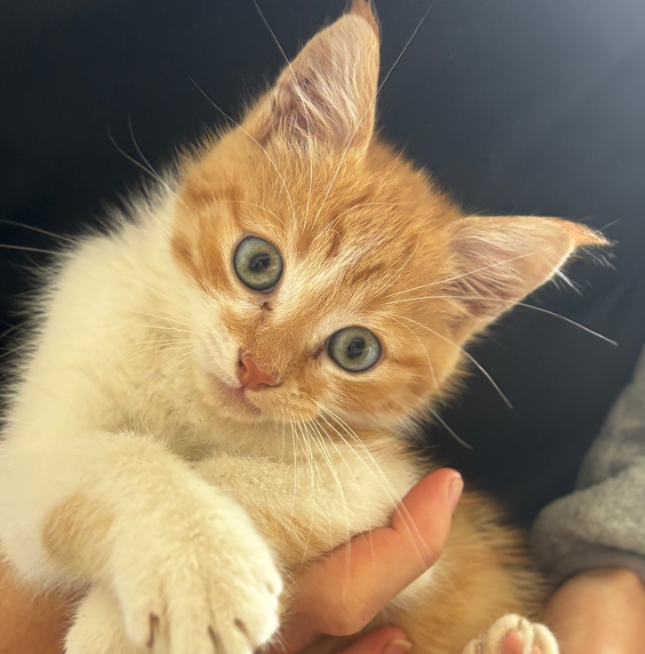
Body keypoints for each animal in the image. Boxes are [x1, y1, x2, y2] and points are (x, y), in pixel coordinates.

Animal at [0, 2, 606, 654]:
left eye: (356, 349)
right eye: (257, 262)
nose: (254, 371)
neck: (193, 399)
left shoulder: (381, 480)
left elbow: (248, 477)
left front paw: (121, 621)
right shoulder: (37, 434)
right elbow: (112, 457)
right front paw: (200, 566)